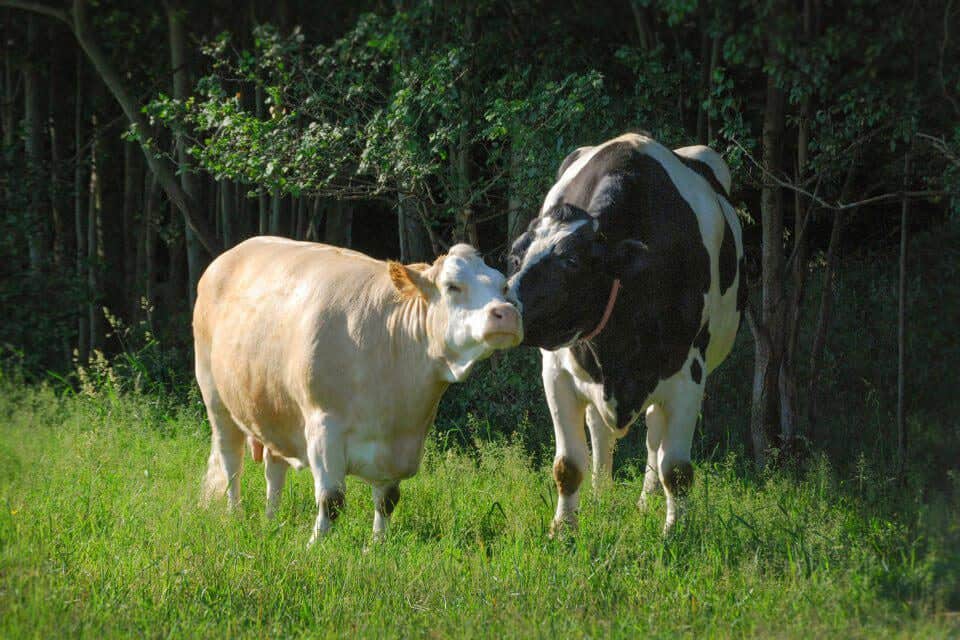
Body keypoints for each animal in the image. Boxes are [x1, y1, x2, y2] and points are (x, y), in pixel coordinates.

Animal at [194, 238, 520, 544]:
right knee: (231, 462)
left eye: (503, 286)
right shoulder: (324, 427)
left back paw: (271, 520)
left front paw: (377, 544)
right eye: (453, 286)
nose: (506, 312)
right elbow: (331, 499)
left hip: (273, 409)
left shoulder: (403, 441)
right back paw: (235, 514)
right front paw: (316, 544)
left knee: (274, 469)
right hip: (214, 395)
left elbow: (387, 500)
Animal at [506, 134, 748, 536]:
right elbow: (568, 464)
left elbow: (676, 470)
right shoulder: (557, 371)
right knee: (600, 432)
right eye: (514, 258)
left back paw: (646, 502)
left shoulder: (688, 376)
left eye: (572, 260)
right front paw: (563, 529)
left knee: (654, 439)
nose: (504, 309)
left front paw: (675, 532)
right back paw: (600, 496)